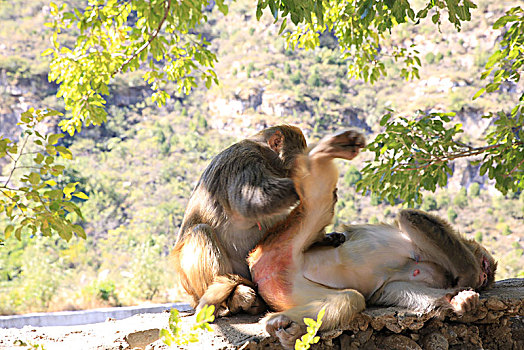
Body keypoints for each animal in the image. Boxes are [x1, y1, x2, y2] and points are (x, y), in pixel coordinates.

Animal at [248, 130, 498, 348]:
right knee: (318, 202)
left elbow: (393, 290)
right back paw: (327, 150)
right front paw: (469, 279)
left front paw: (460, 301)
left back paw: (284, 325)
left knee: (349, 299)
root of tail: (262, 268)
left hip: (289, 286)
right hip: (284, 239)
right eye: (485, 267)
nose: (484, 277)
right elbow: (412, 218)